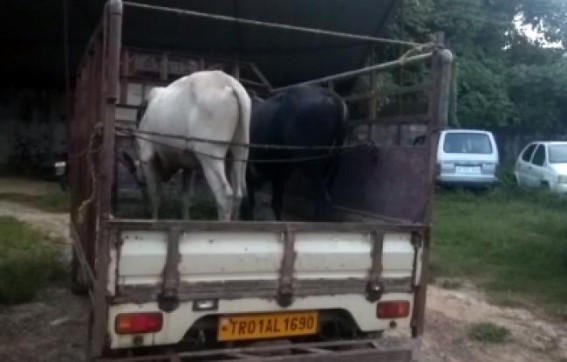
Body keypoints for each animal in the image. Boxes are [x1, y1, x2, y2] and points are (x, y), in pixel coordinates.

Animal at [123, 69, 252, 219]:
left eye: (139, 183)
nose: (146, 212)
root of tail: (229, 82)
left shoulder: (147, 156)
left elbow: (155, 196)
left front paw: (153, 217)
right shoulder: (188, 166)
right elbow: (186, 197)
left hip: (210, 154)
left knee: (224, 194)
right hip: (240, 151)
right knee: (238, 194)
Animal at [242, 86, 348, 221]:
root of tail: (335, 99)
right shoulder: (279, 175)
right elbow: (276, 204)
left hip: (310, 164)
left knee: (324, 200)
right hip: (332, 165)